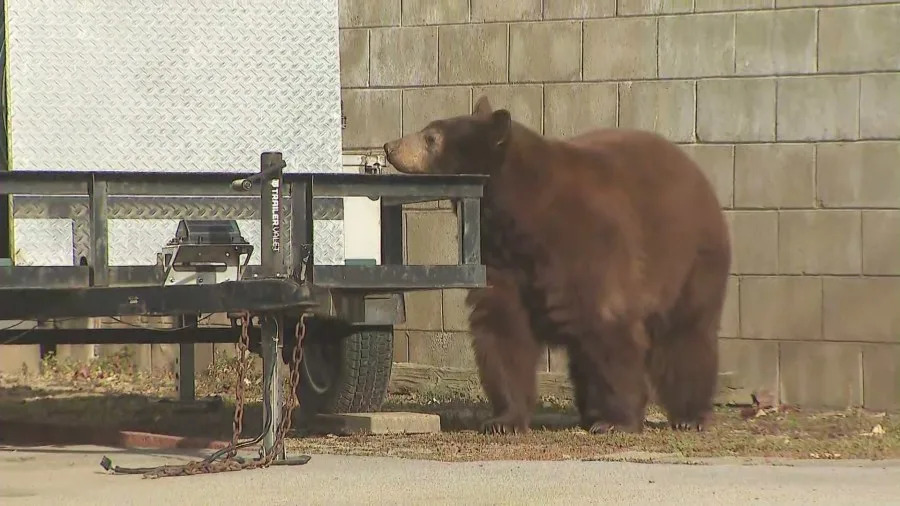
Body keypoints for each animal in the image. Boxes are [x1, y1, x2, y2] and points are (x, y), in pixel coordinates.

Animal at [383, 96, 731, 436]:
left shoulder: (588, 243)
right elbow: (503, 330)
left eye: (431, 137)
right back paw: (590, 412)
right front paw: (504, 420)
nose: (390, 146)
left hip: (690, 259)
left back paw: (689, 415)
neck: (524, 216)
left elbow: (609, 326)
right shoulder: (501, 260)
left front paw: (617, 421)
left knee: (686, 334)